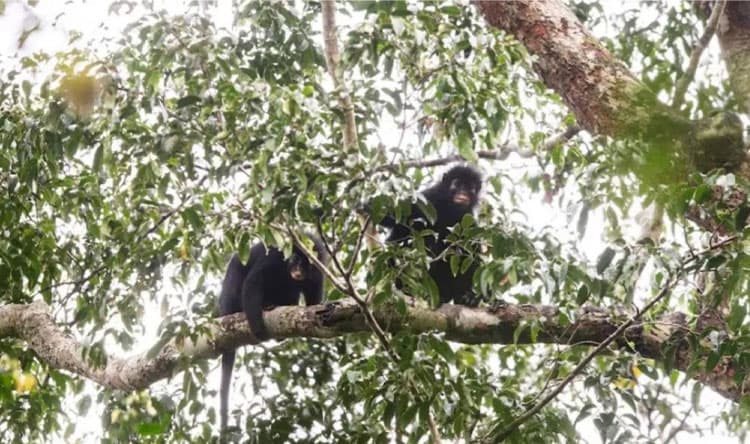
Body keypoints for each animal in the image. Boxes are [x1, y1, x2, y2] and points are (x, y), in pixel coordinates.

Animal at [217, 234, 327, 434]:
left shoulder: (318, 270)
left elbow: (313, 302)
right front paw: (258, 328)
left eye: (306, 265)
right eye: (295, 260)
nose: (298, 270)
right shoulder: (275, 256)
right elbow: (253, 282)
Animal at [373, 165, 483, 306]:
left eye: (470, 188)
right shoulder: (429, 199)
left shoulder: (468, 218)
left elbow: (472, 252)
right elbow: (399, 217)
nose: (463, 193)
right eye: (457, 184)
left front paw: (471, 296)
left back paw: (463, 297)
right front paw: (367, 206)